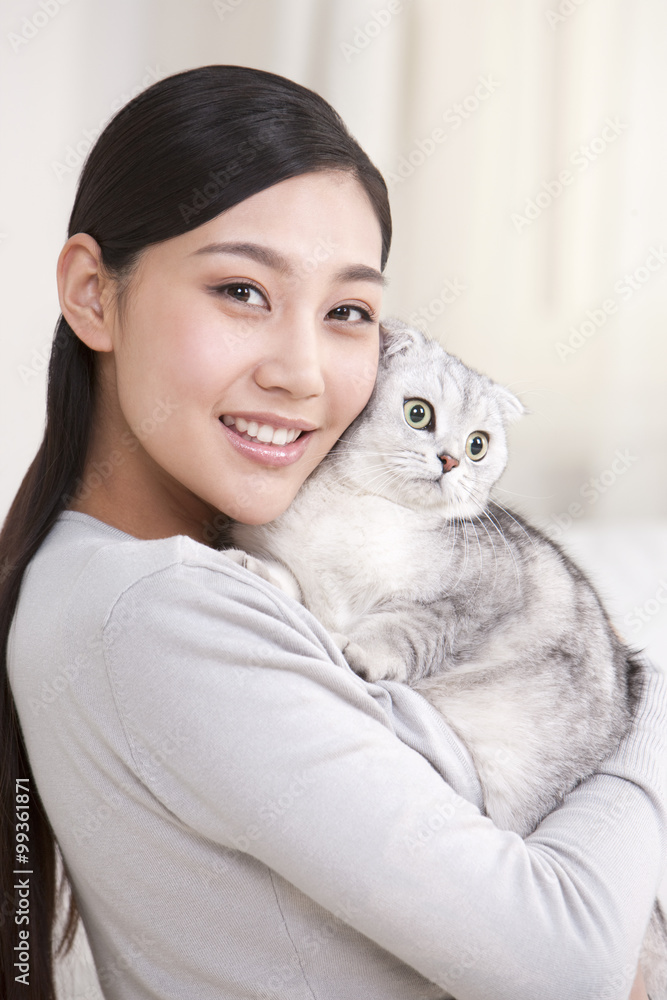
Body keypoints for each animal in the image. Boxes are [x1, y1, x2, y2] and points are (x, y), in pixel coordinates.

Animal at [222, 316, 664, 996]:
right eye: (418, 413)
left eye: (479, 445)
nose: (452, 459)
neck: (362, 513)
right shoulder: (310, 576)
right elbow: (296, 586)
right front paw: (253, 568)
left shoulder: (476, 599)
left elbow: (409, 625)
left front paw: (362, 651)